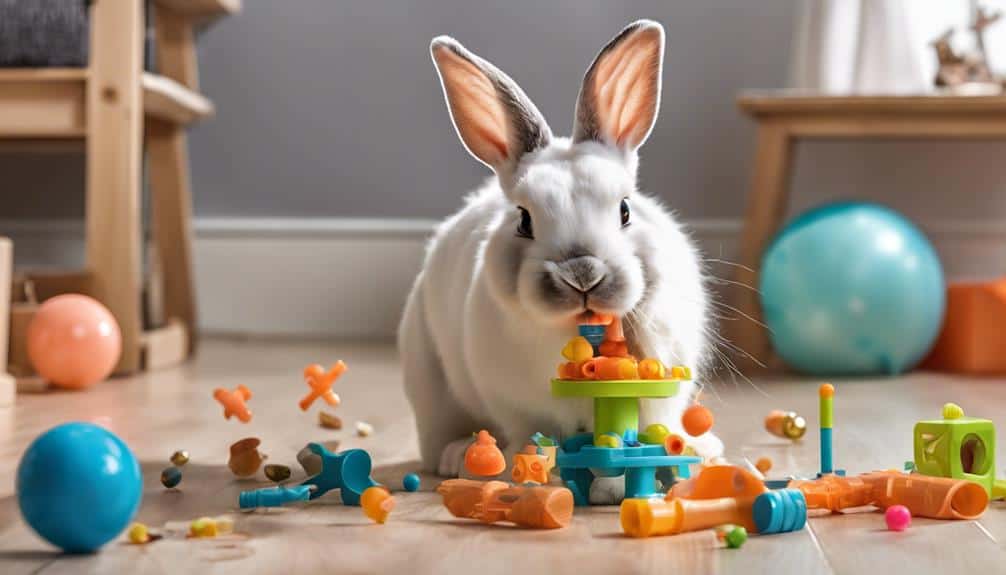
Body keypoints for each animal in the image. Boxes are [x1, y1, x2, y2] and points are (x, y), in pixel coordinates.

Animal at [399, 20, 722, 489]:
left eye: (625, 209)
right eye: (524, 220)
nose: (583, 274)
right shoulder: (518, 405)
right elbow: (535, 435)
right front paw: (537, 470)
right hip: (431, 391)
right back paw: (459, 456)